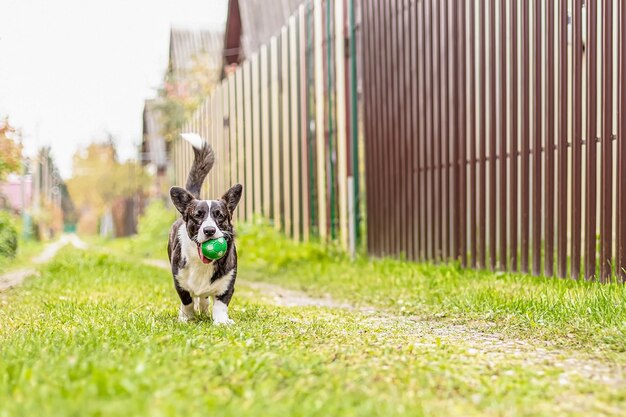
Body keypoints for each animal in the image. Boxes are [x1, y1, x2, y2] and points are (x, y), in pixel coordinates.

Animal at [166, 135, 241, 324]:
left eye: (220, 216)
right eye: (198, 215)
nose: (209, 231)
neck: (202, 263)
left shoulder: (227, 282)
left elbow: (220, 304)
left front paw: (222, 322)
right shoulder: (179, 280)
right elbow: (187, 302)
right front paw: (186, 318)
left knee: (205, 297)